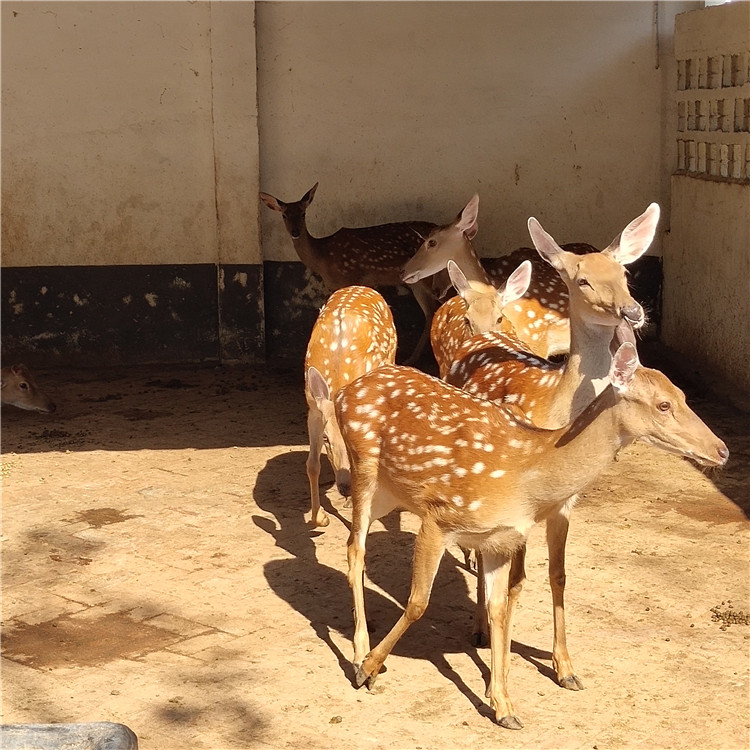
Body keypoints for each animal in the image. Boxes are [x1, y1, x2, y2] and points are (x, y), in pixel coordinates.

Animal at [262, 185, 444, 368]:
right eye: (284, 215)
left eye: (303, 213)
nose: (295, 232)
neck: (322, 258)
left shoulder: (350, 276)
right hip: (416, 283)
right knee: (430, 312)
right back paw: (413, 358)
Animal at [304, 286, 400, 528]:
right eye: (326, 438)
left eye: (351, 439)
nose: (345, 486)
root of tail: (361, 287)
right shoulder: (314, 409)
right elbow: (312, 464)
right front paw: (320, 518)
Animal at [334, 346, 728, 736]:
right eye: (663, 405)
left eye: (684, 396)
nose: (721, 450)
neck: (525, 477)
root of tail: (346, 391)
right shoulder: (439, 517)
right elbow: (418, 602)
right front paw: (368, 669)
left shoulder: (498, 540)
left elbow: (498, 607)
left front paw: (504, 706)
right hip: (364, 469)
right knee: (355, 550)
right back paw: (358, 652)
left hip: (390, 493)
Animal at [446, 204, 664, 680]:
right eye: (582, 280)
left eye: (625, 273)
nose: (633, 311)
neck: (557, 408)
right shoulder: (520, 500)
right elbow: (515, 580)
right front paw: (498, 663)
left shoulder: (566, 502)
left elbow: (558, 575)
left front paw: (565, 667)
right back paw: (476, 627)